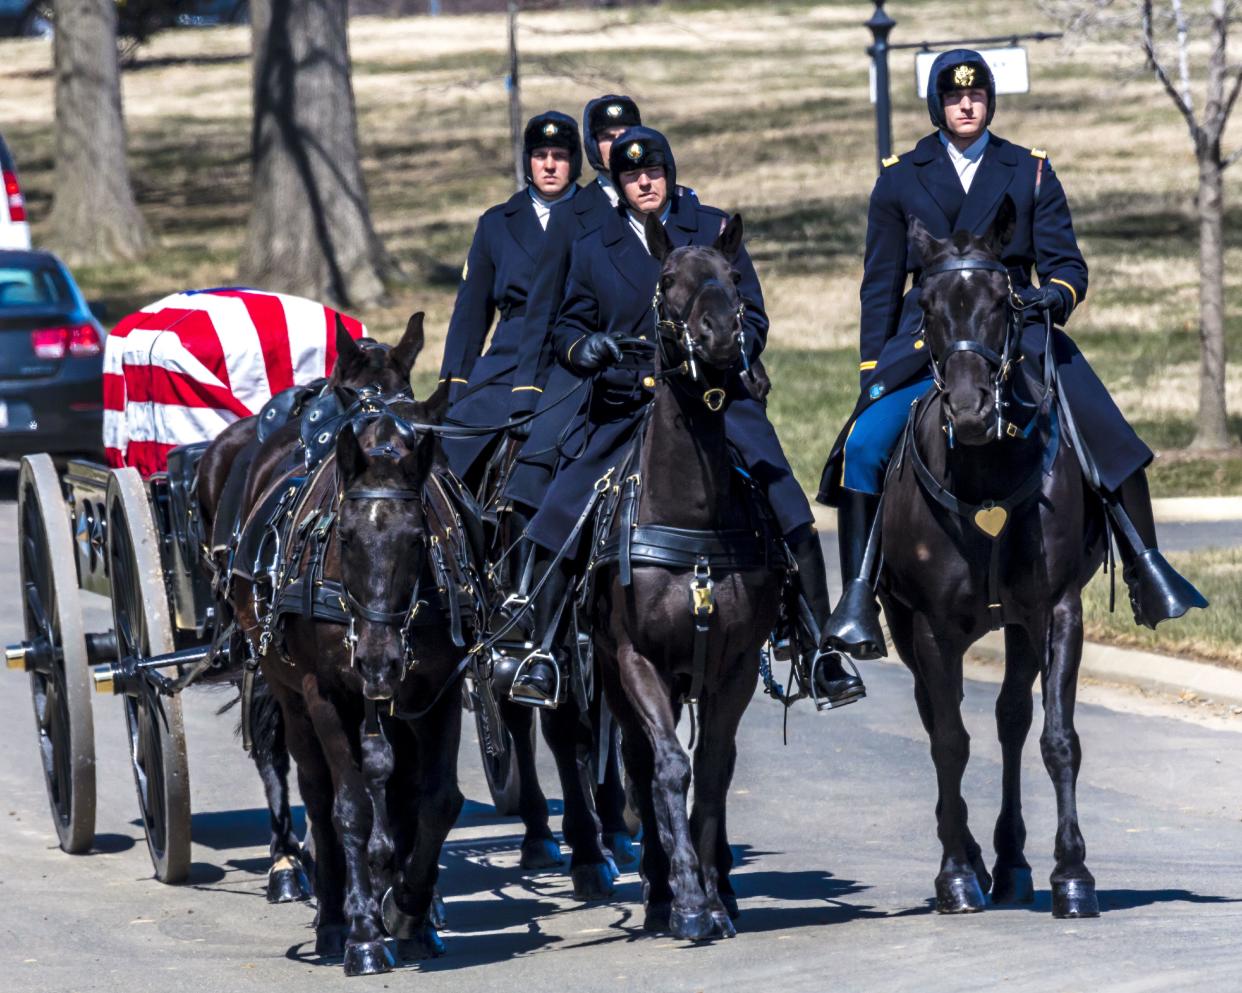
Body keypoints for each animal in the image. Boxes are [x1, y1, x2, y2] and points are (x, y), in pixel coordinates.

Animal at [588, 213, 779, 943]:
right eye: (667, 278)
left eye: (732, 278)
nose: (722, 333)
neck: (691, 513)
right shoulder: (637, 661)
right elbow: (668, 766)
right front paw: (688, 900)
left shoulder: (736, 666)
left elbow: (716, 770)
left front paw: (714, 896)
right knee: (642, 767)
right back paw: (660, 889)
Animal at [884, 197, 1107, 918]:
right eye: (924, 306)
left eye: (1002, 300)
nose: (972, 411)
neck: (983, 471)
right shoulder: (927, 624)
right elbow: (949, 742)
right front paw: (955, 872)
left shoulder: (1056, 609)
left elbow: (1058, 738)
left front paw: (1073, 872)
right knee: (938, 715)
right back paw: (972, 858)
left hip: (1014, 622)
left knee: (1011, 718)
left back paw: (1010, 860)